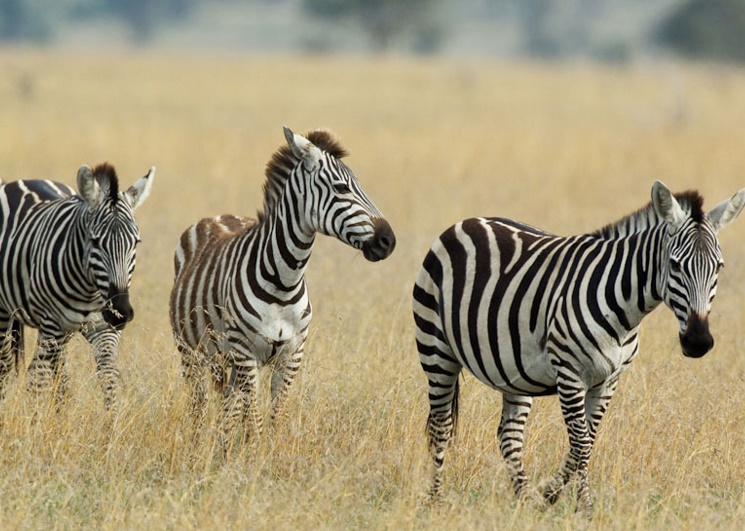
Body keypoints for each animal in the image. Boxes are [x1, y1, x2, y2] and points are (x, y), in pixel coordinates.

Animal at [0, 164, 155, 410]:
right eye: (95, 242)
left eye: (136, 242)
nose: (121, 312)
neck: (88, 289)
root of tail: (23, 181)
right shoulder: (51, 324)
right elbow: (37, 380)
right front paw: (34, 419)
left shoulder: (103, 327)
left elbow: (109, 376)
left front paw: (111, 420)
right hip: (9, 315)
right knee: (8, 365)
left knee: (57, 371)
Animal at [170, 127, 396, 446]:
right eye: (341, 188)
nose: (389, 241)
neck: (283, 282)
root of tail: (216, 216)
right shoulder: (246, 352)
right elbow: (254, 420)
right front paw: (254, 454)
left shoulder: (292, 353)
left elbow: (276, 417)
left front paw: (269, 453)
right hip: (191, 354)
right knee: (198, 407)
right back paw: (198, 444)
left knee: (227, 407)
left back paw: (222, 447)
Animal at [412, 182, 744, 512]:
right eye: (675, 265)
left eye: (719, 267)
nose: (698, 341)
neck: (623, 309)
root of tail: (467, 222)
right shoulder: (570, 373)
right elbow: (581, 442)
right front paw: (571, 501)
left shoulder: (609, 380)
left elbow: (588, 439)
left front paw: (561, 498)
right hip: (436, 350)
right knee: (440, 427)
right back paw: (434, 499)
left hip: (514, 371)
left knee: (509, 435)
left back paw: (524, 498)